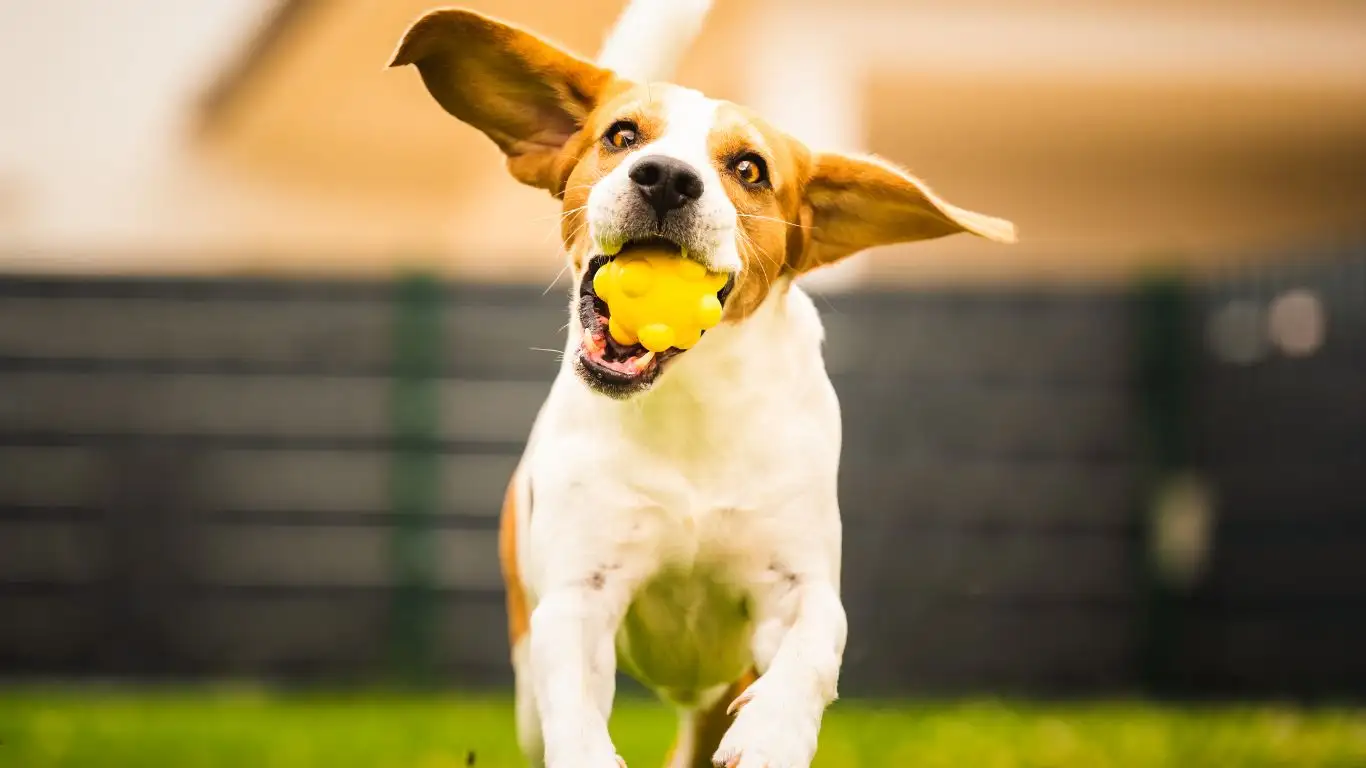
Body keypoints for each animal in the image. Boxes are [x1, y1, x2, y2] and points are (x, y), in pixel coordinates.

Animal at [387, 2, 1016, 759]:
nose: (664, 176)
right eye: (622, 136)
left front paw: (774, 735)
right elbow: (574, 699)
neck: (689, 406)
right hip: (528, 693)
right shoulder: (579, 595)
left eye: (749, 167)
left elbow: (812, 648)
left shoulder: (797, 585)